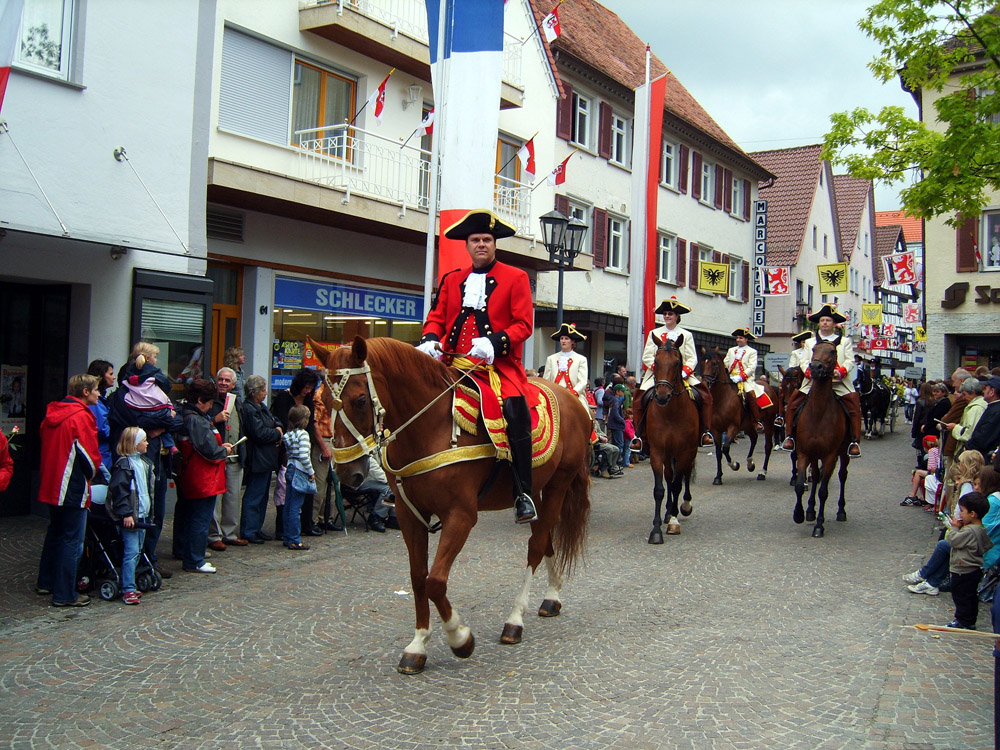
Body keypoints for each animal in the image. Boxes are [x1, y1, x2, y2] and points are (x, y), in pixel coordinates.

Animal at [312, 338, 592, 680]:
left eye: (361, 400)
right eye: (323, 401)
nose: (346, 472)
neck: (429, 428)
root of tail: (574, 401)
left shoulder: (460, 516)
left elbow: (435, 581)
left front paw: (460, 638)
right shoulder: (409, 516)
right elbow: (418, 577)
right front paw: (418, 644)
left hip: (558, 486)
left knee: (537, 546)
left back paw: (515, 620)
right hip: (536, 488)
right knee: (545, 537)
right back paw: (552, 597)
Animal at [640, 338, 696, 544]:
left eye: (677, 362)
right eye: (656, 361)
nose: (662, 396)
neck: (671, 413)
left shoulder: (685, 451)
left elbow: (678, 484)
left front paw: (673, 521)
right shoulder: (657, 452)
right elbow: (660, 489)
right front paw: (656, 530)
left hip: (688, 452)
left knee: (684, 476)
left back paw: (682, 507)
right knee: (670, 477)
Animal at [700, 348, 776, 484]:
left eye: (714, 363)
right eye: (702, 363)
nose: (705, 383)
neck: (722, 398)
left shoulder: (733, 427)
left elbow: (725, 448)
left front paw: (735, 465)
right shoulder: (716, 430)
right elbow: (718, 452)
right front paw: (718, 477)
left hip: (768, 422)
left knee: (768, 446)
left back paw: (762, 473)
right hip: (748, 425)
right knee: (754, 437)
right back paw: (750, 464)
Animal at [792, 344, 848, 536]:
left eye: (833, 351)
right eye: (814, 348)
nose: (816, 367)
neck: (818, 413)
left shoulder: (830, 456)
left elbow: (823, 491)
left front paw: (819, 525)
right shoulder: (803, 452)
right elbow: (800, 484)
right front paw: (799, 514)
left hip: (844, 454)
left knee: (842, 476)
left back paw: (841, 511)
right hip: (815, 454)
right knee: (816, 476)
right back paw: (810, 510)